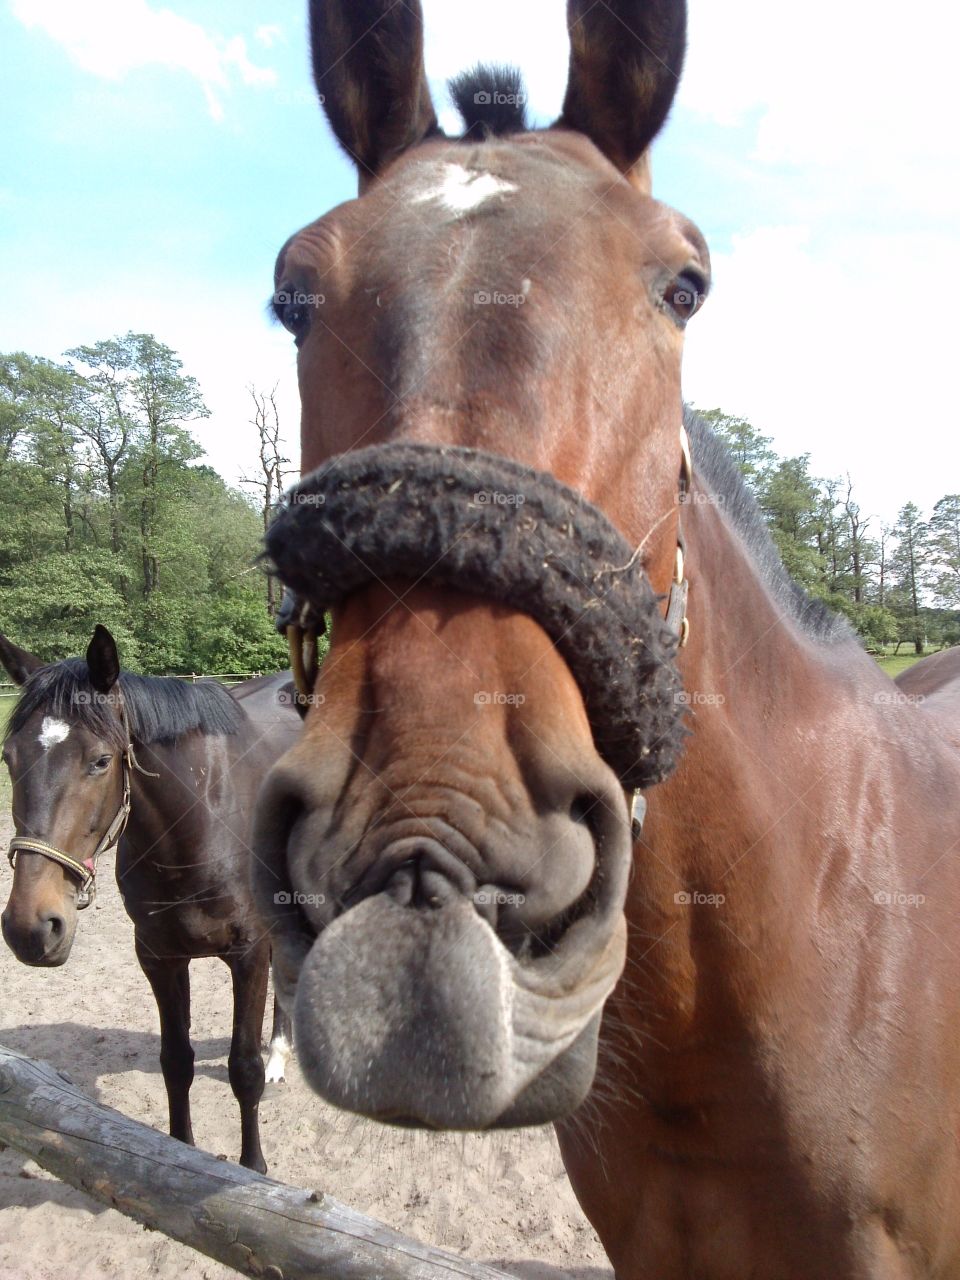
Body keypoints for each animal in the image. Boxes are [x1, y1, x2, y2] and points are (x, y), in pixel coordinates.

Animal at [0, 626, 301, 1173]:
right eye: (9, 758)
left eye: (101, 760)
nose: (30, 927)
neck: (203, 817)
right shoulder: (158, 956)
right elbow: (175, 1062)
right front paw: (179, 1154)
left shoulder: (248, 954)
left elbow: (241, 1069)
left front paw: (253, 1169)